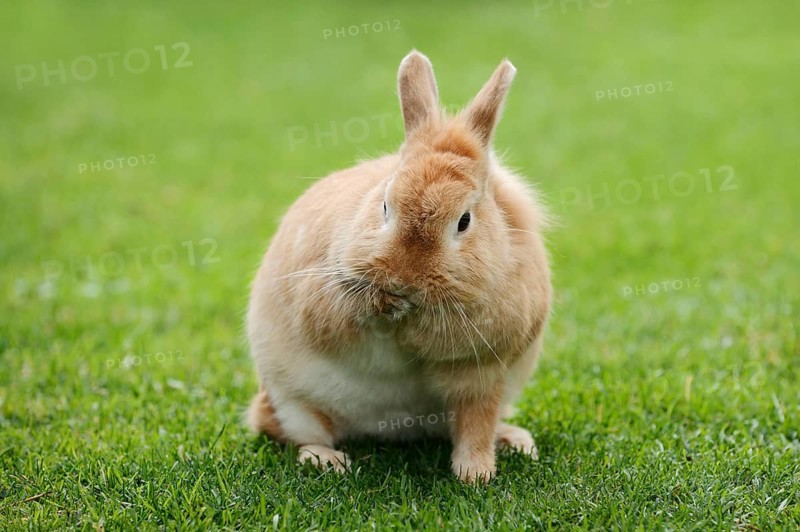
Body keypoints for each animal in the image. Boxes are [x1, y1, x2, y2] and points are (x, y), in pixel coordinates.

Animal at [246, 50, 551, 484]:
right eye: (386, 206)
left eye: (464, 221)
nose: (403, 279)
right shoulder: (320, 292)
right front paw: (383, 305)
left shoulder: (483, 364)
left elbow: (471, 420)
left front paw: (474, 477)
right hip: (293, 403)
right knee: (292, 432)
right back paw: (328, 461)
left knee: (475, 426)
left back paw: (511, 443)